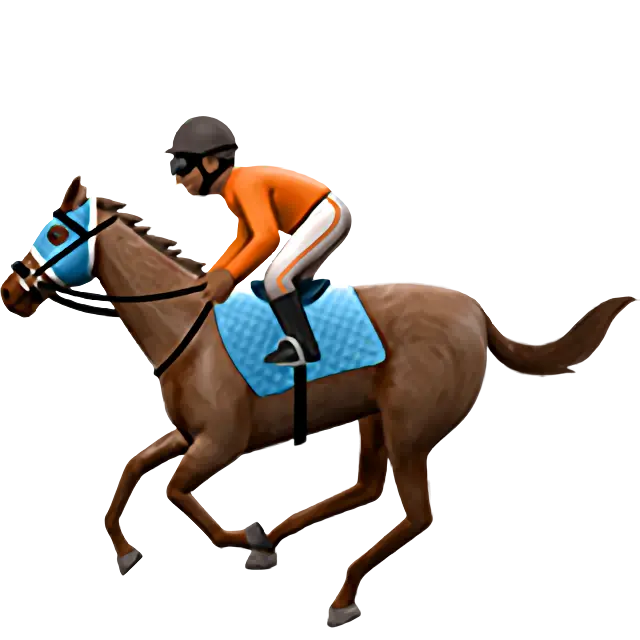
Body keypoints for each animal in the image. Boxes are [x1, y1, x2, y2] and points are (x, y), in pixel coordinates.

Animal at [1, 177, 633, 625]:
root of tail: (476, 313)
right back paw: (279, 536)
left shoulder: (222, 440)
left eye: (55, 234)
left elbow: (175, 488)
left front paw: (236, 537)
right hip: (376, 417)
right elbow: (135, 464)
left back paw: (342, 591)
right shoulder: (189, 433)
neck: (187, 328)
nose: (10, 291)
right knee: (366, 487)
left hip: (409, 428)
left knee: (415, 513)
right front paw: (125, 547)